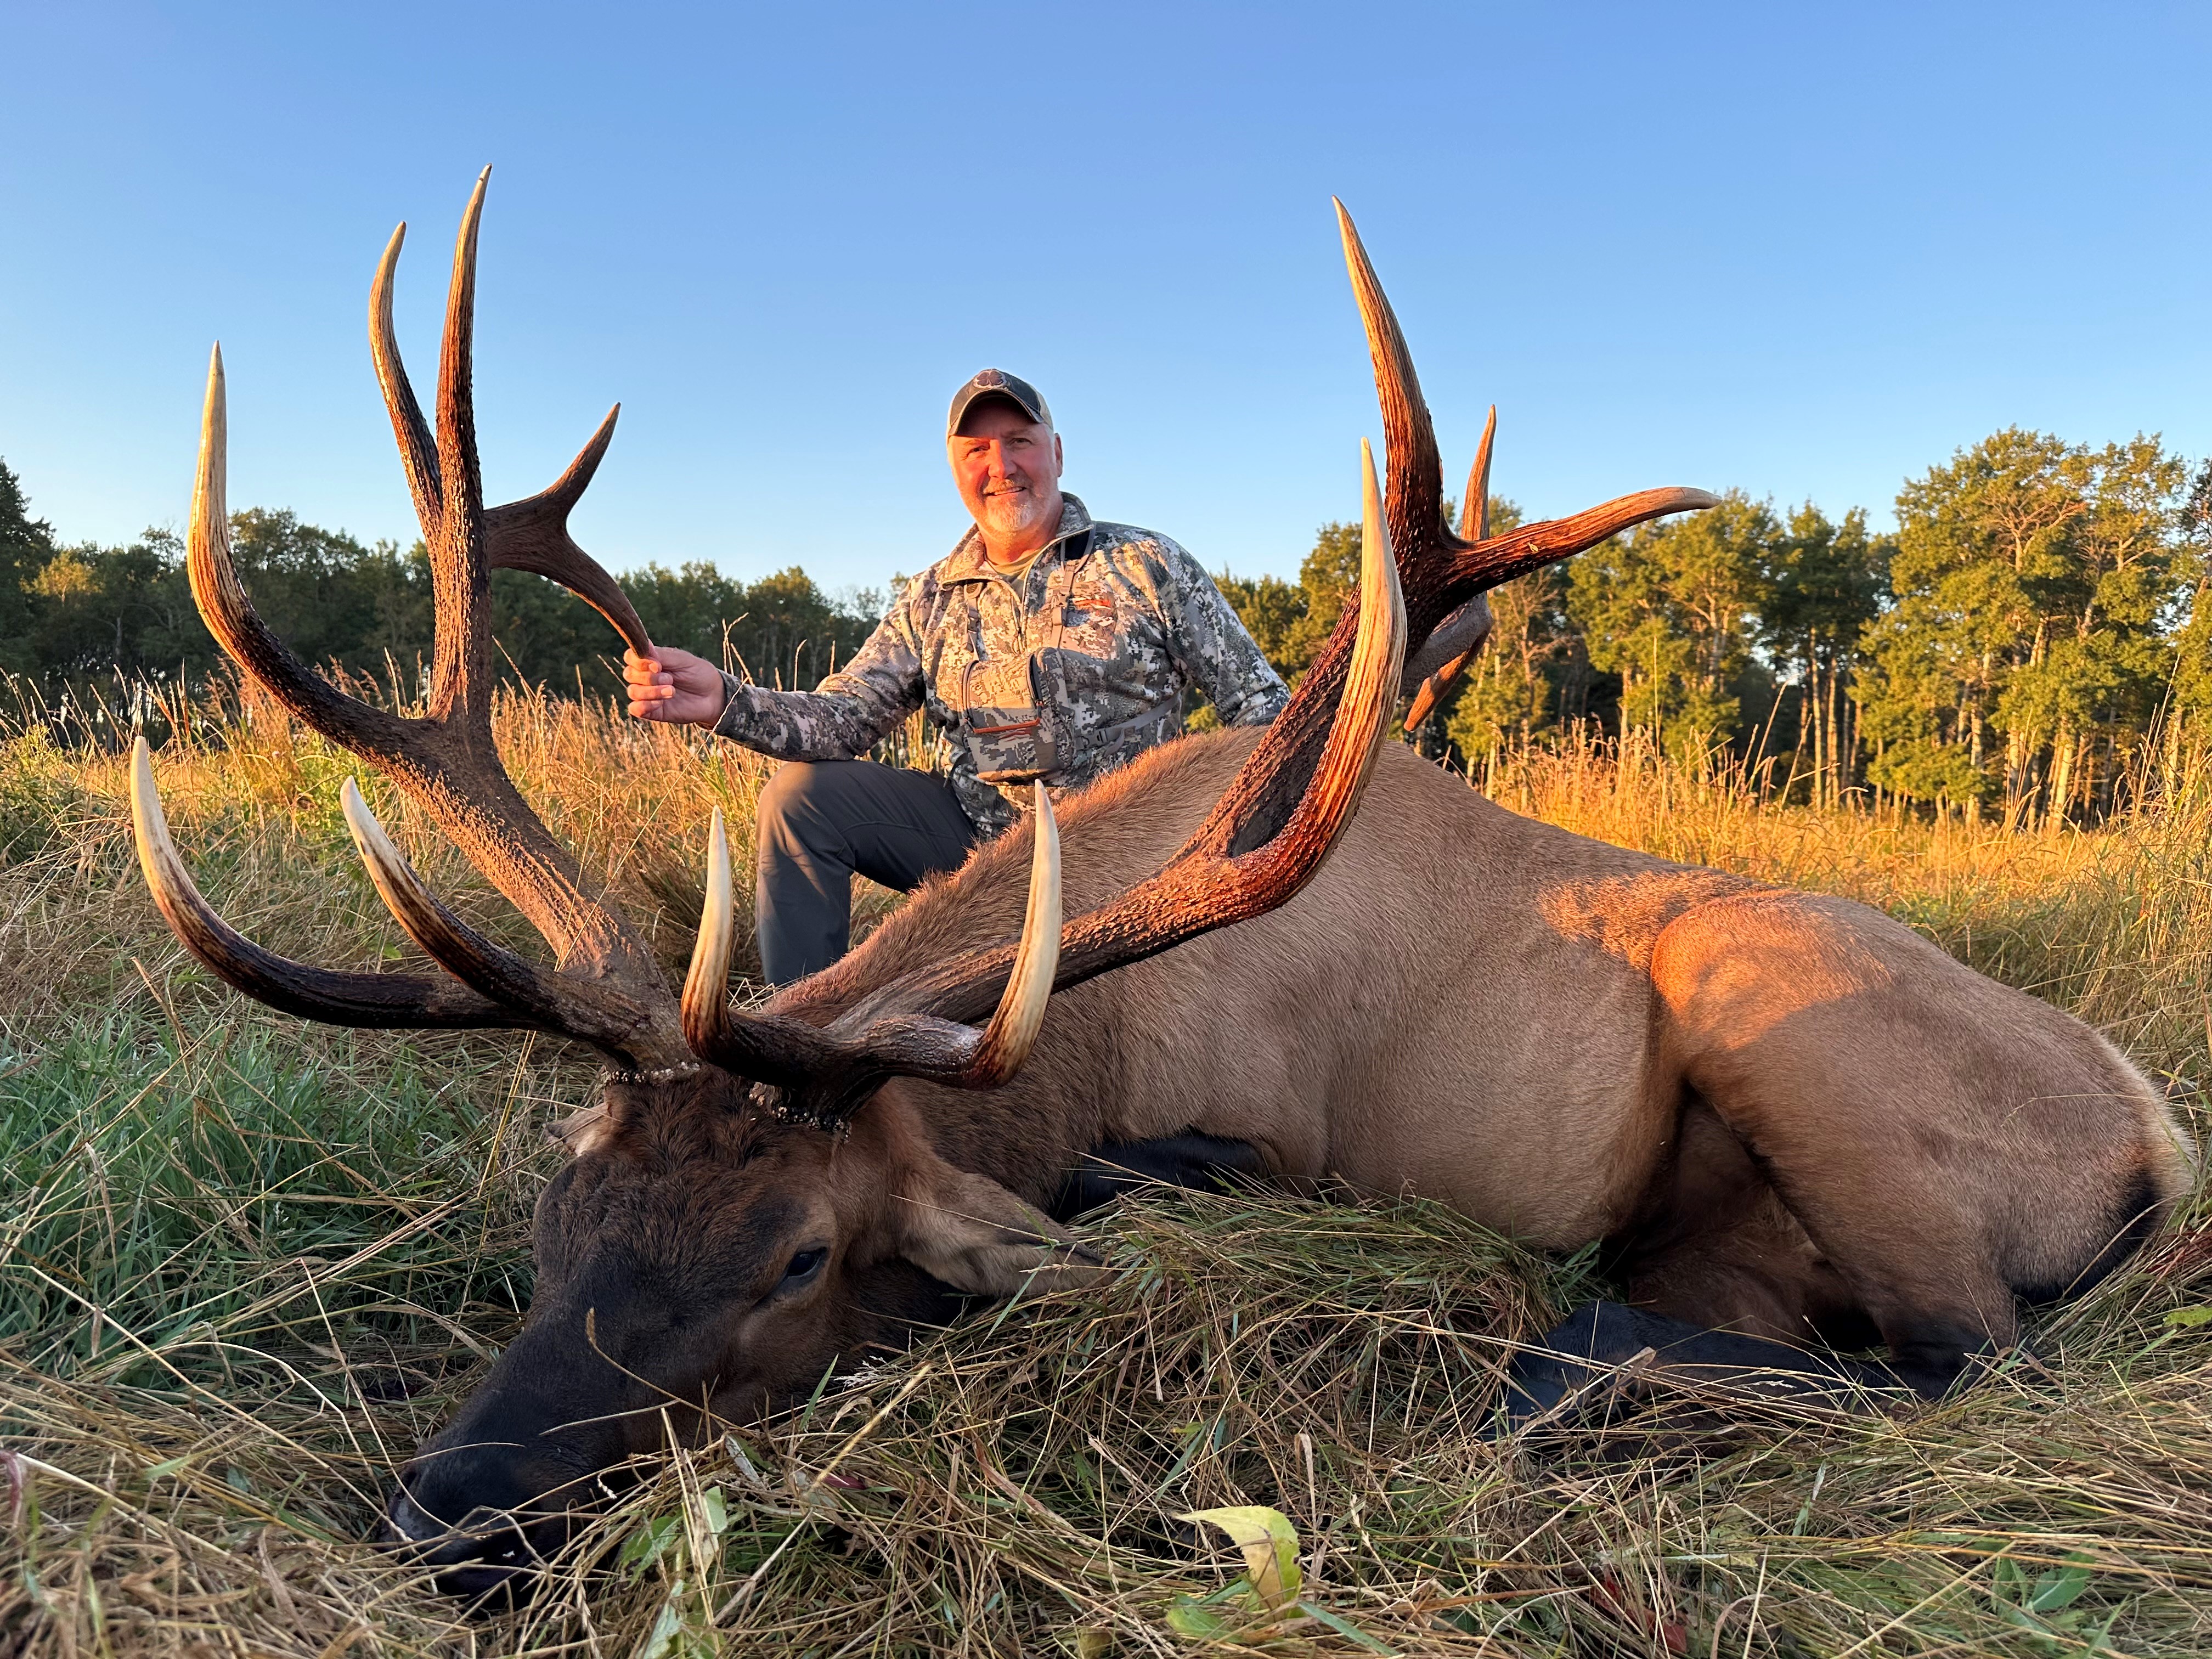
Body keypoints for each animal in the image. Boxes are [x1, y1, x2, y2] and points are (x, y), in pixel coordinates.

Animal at [129, 172, 2193, 1602]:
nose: (449, 1513)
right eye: (562, 1215)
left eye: (797, 1254)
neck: (1084, 1048)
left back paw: (1554, 1357)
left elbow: (1147, 1189)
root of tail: (2158, 1137)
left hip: (1796, 1033)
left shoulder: (1263, 1137)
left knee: (1966, 1363)